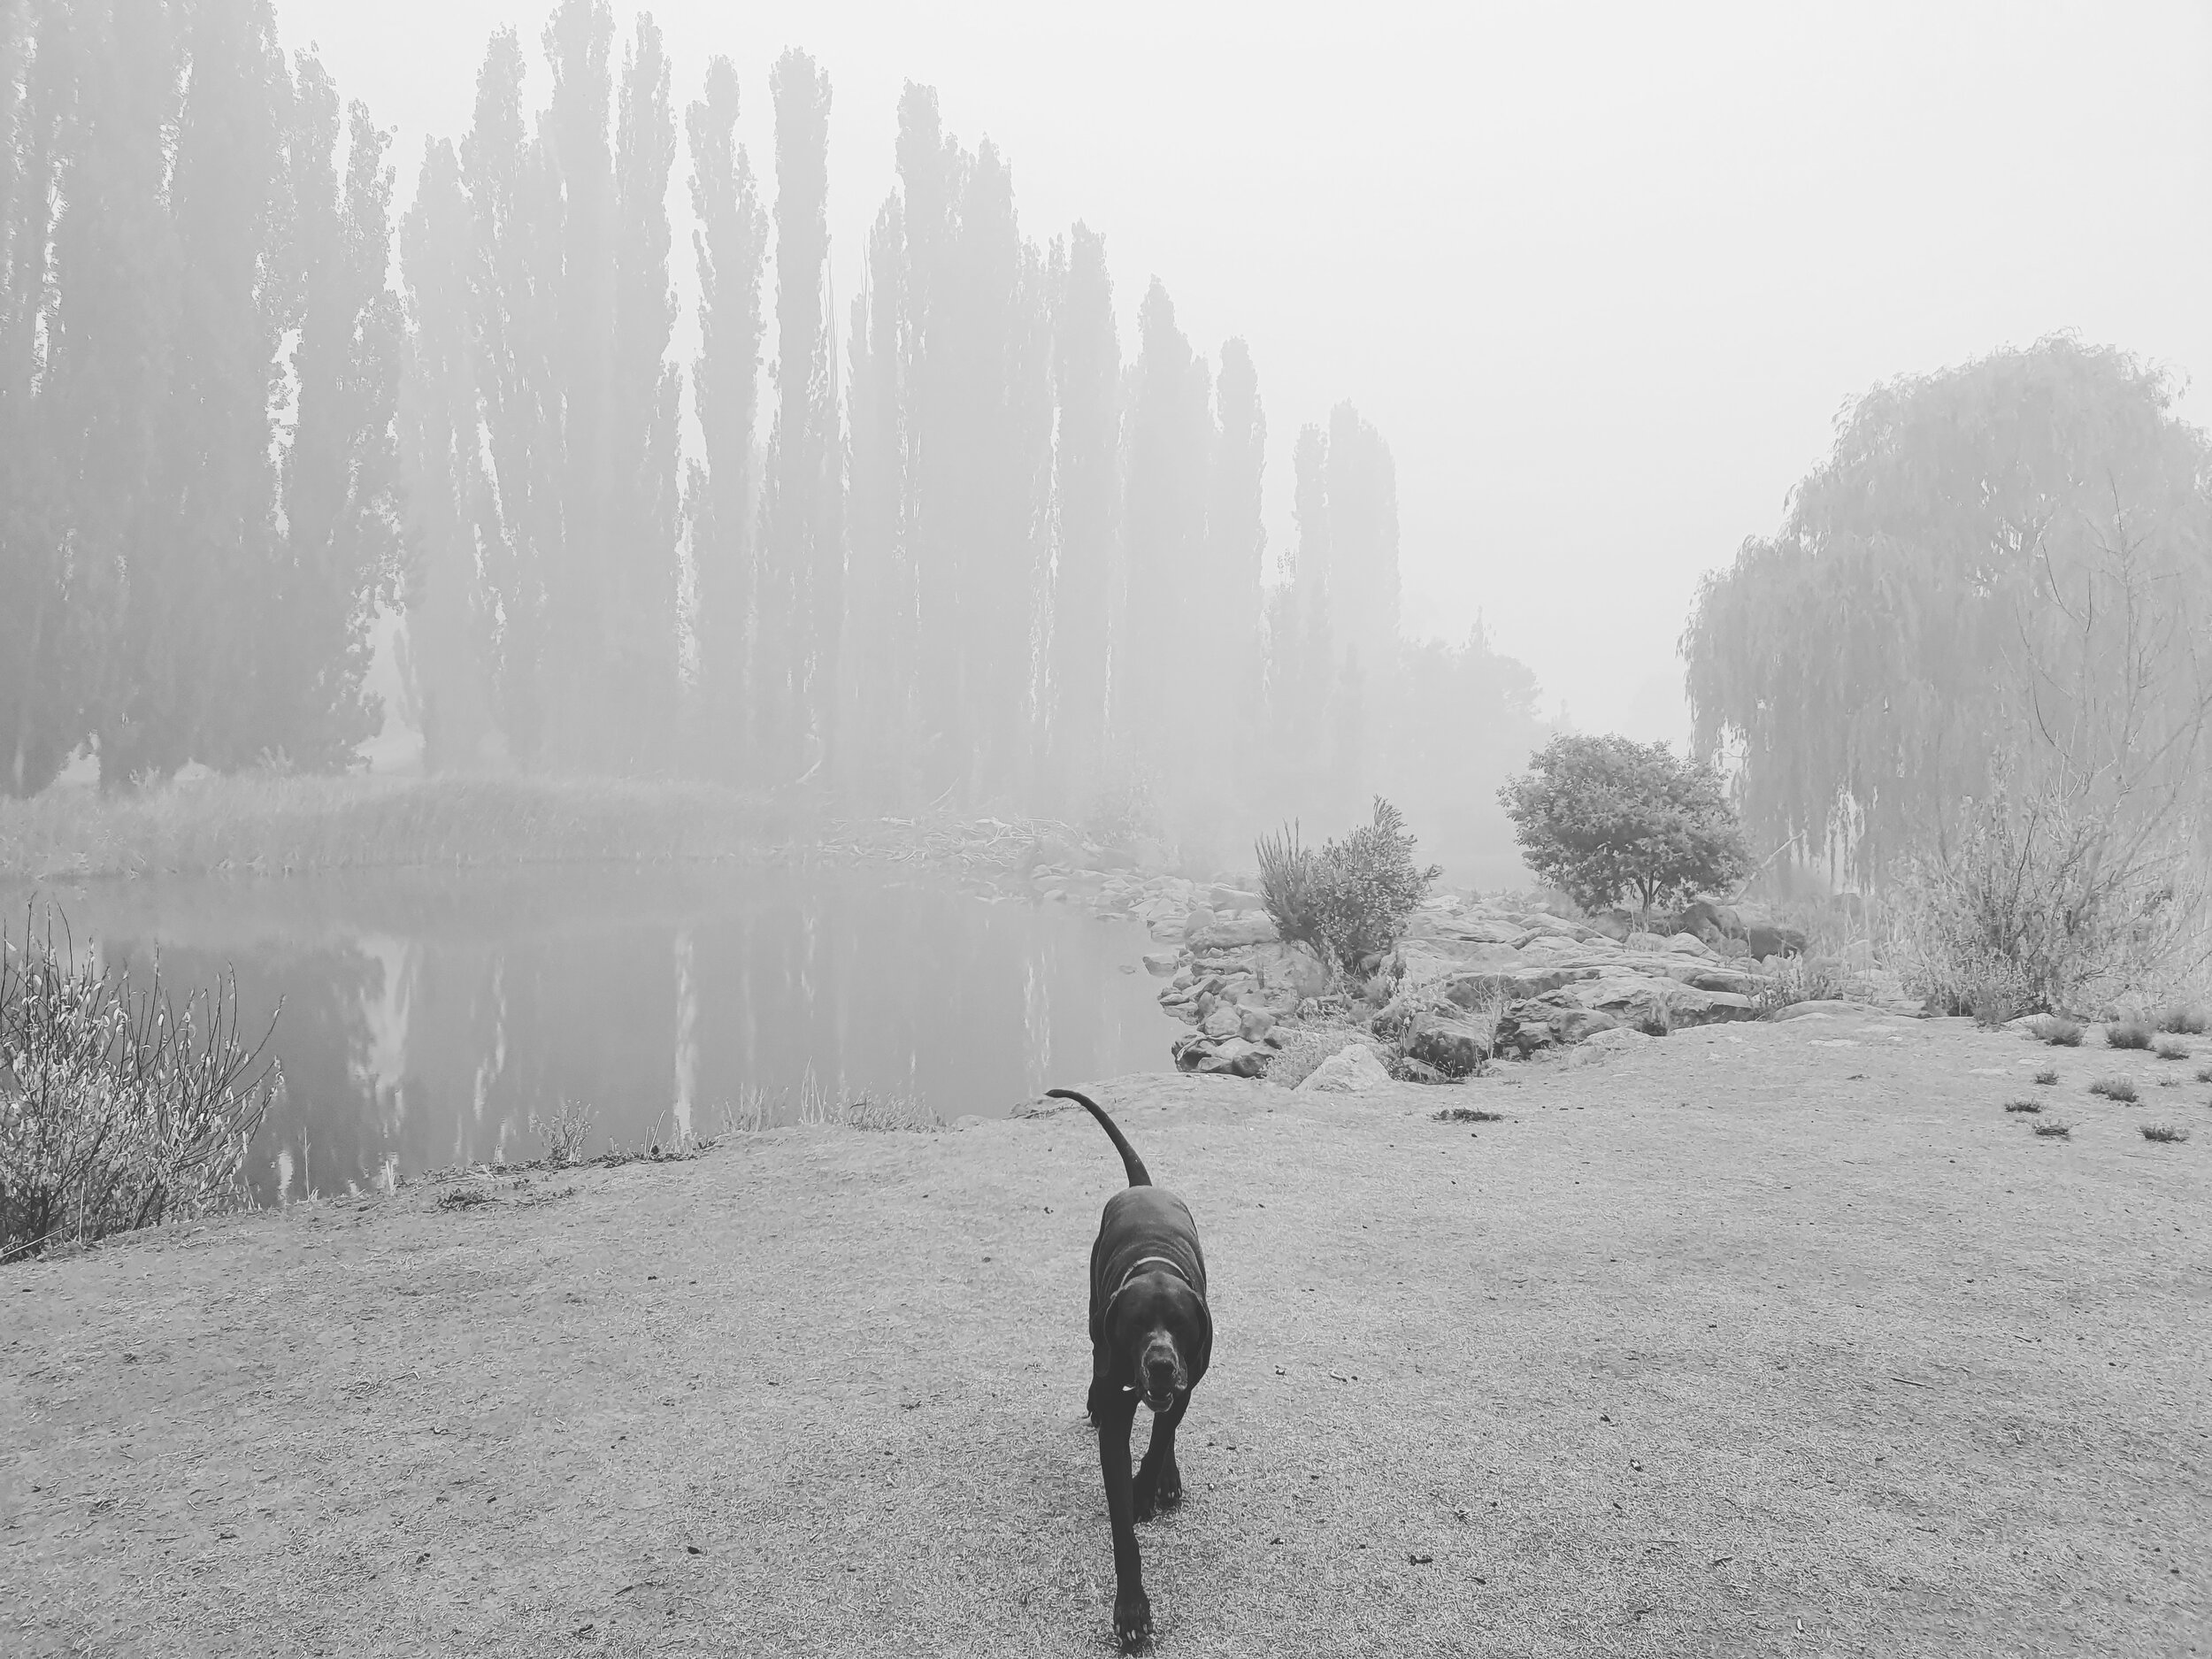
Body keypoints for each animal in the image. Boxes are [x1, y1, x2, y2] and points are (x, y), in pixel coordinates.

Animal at [1048, 1093, 1221, 1655]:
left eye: (1181, 1325)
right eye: (1136, 1326)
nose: (1162, 1365)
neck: (1155, 1264)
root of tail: (1142, 1185)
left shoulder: (1186, 1383)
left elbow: (1162, 1436)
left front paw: (1150, 1485)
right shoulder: (1121, 1399)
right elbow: (1122, 1525)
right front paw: (1131, 1610)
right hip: (1092, 1314)